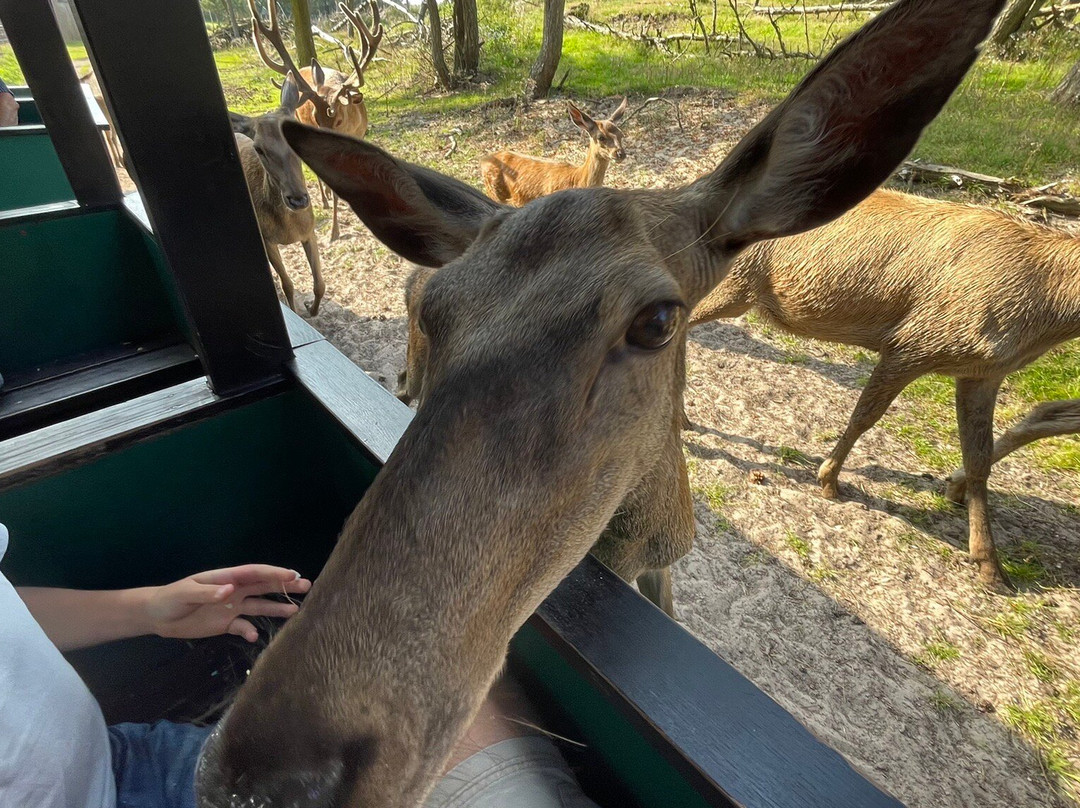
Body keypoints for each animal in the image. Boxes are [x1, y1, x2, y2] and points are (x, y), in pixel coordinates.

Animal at [228, 73, 321, 315]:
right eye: (259, 148)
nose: (298, 199)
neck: (288, 229)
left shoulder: (310, 230)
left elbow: (320, 284)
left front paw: (311, 308)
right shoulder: (266, 237)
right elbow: (287, 283)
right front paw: (299, 311)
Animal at [479, 97, 630, 206]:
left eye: (621, 134)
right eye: (601, 137)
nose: (620, 153)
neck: (577, 179)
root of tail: (484, 159)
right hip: (495, 193)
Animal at [686, 189, 1080, 591]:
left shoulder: (981, 373)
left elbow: (979, 460)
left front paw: (990, 566)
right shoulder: (912, 343)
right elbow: (865, 415)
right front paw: (828, 480)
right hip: (736, 284)